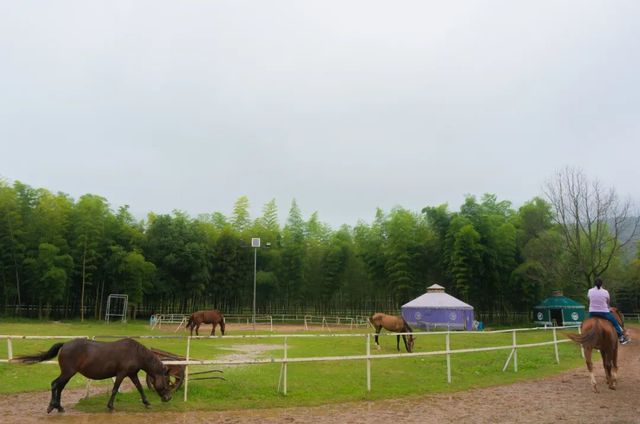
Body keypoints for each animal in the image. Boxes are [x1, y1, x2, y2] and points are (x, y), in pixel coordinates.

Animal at [14, 336, 172, 412]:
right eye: (167, 381)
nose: (168, 398)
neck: (135, 353)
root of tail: (65, 344)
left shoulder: (132, 374)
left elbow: (139, 388)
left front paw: (147, 403)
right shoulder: (121, 374)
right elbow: (115, 389)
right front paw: (110, 406)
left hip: (68, 374)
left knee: (60, 387)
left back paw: (59, 407)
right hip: (68, 373)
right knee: (54, 384)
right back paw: (52, 407)